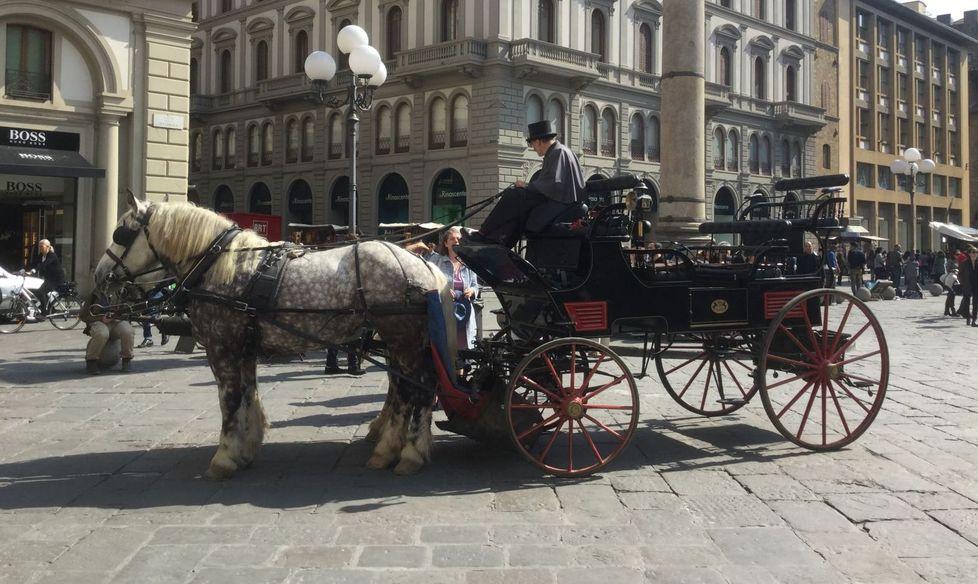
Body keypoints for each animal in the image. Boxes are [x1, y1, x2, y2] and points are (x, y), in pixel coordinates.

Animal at [94, 193, 457, 479]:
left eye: (121, 233)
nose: (99, 276)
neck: (219, 265)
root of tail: (423, 263)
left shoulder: (222, 346)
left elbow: (229, 400)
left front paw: (224, 456)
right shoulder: (244, 346)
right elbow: (248, 395)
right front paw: (246, 447)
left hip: (402, 338)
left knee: (416, 389)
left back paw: (406, 453)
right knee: (409, 388)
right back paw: (392, 448)